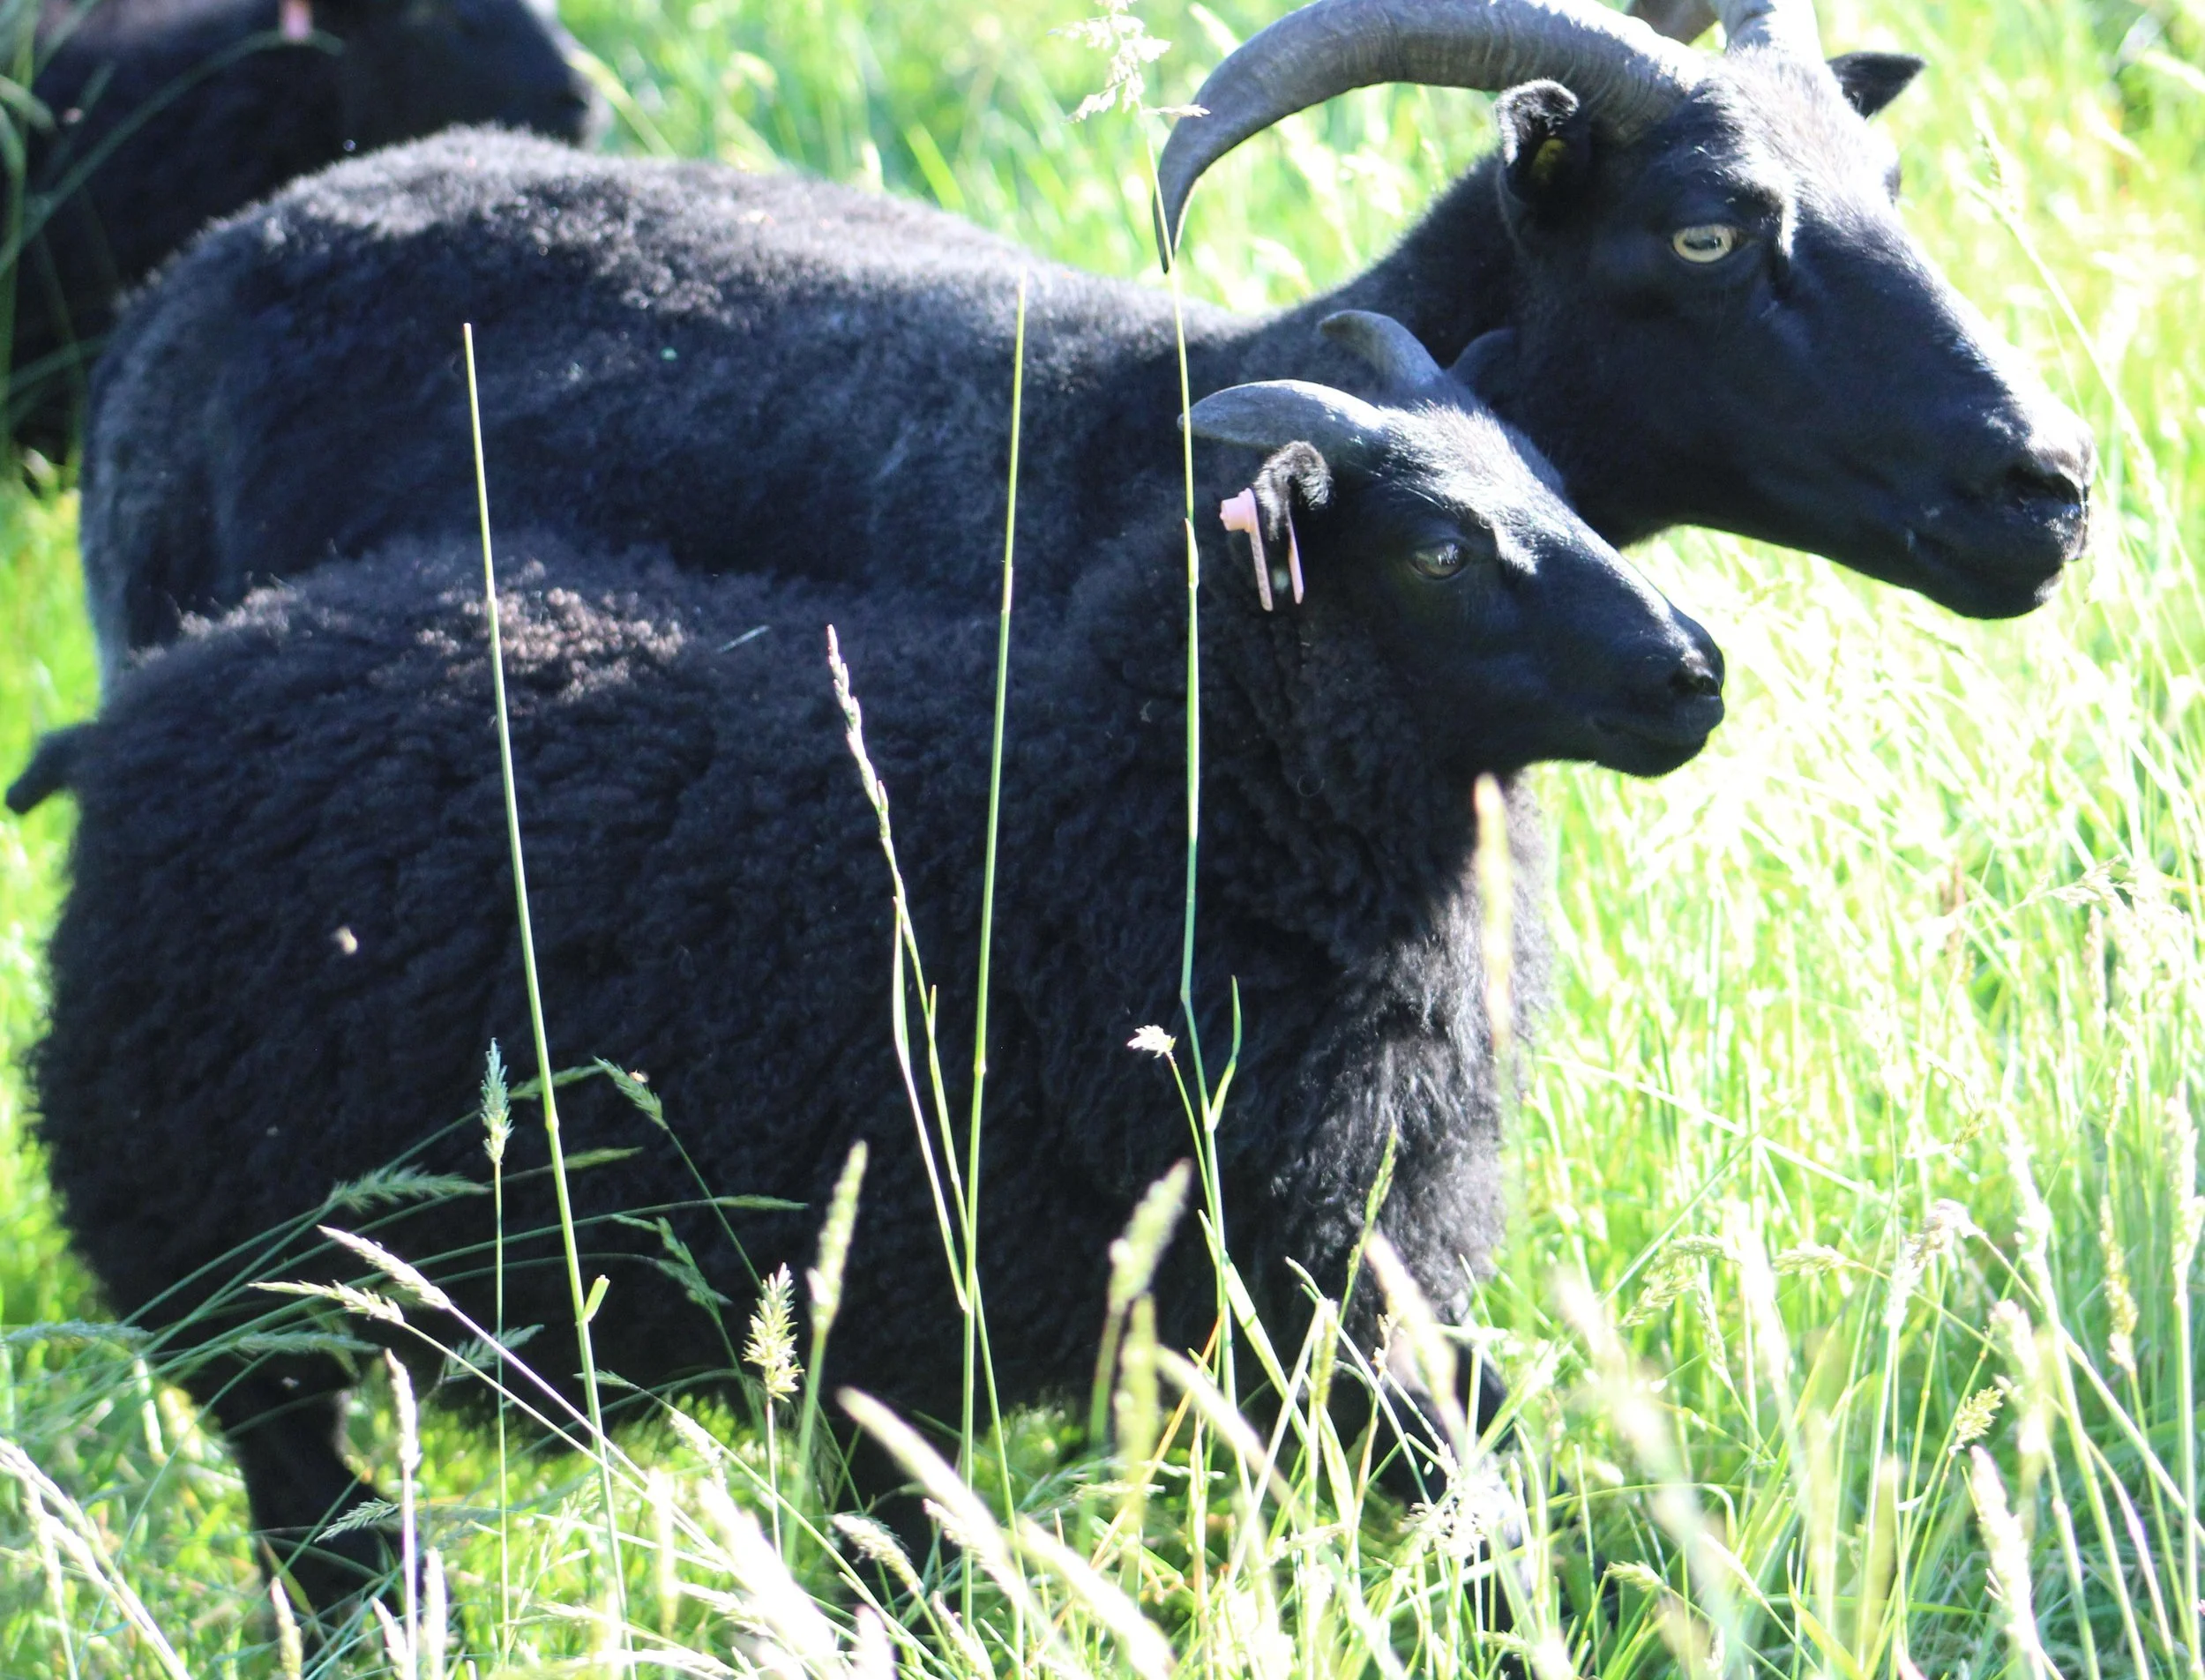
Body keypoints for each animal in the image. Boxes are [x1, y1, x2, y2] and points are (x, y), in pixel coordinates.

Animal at [28, 334, 1723, 1609]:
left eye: (1558, 487)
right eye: (1439, 550)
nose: (1696, 673)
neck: (1125, 808)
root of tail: (161, 688)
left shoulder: (1339, 1281)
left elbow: (1488, 1495)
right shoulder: (912, 1321)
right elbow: (900, 1587)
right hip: (215, 1271)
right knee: (313, 1521)